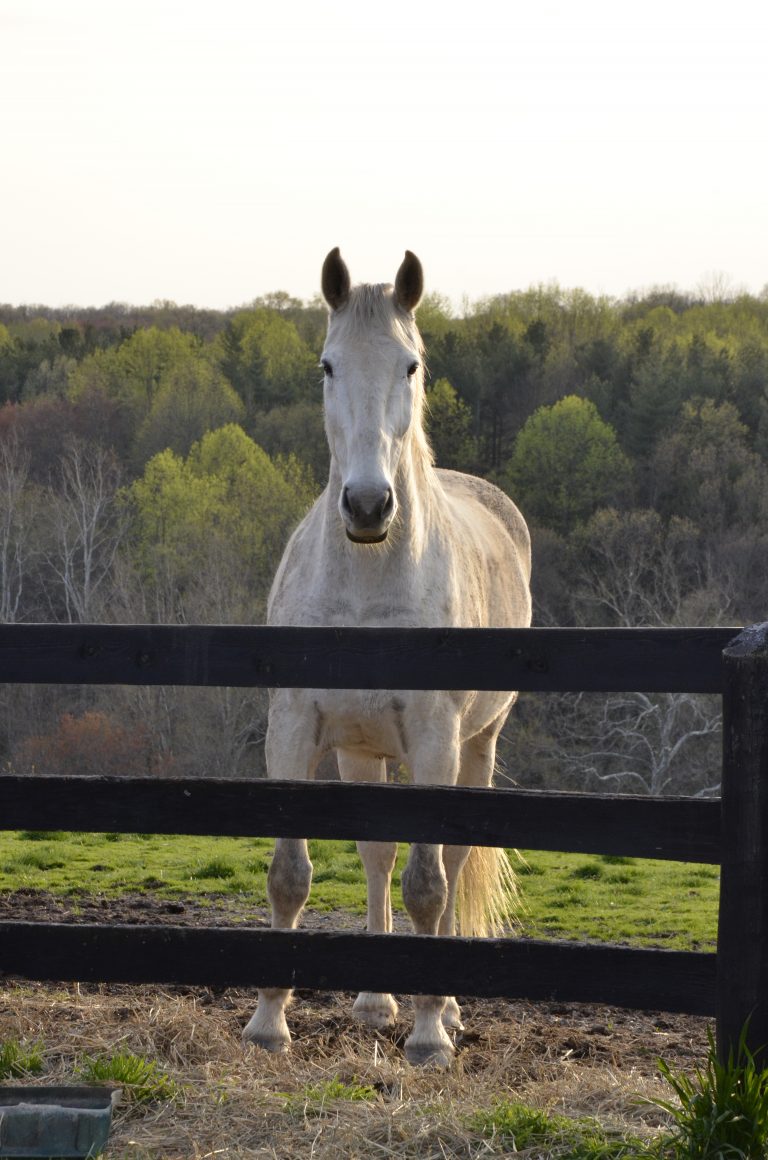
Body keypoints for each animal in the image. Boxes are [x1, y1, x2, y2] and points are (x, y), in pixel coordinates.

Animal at [243, 249, 532, 1066]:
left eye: (411, 364)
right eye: (327, 365)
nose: (369, 506)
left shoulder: (434, 740)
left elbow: (431, 887)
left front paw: (430, 1035)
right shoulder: (295, 729)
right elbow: (291, 876)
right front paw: (268, 1022)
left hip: (475, 746)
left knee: (452, 864)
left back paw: (451, 1010)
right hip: (365, 751)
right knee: (378, 855)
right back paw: (375, 1001)